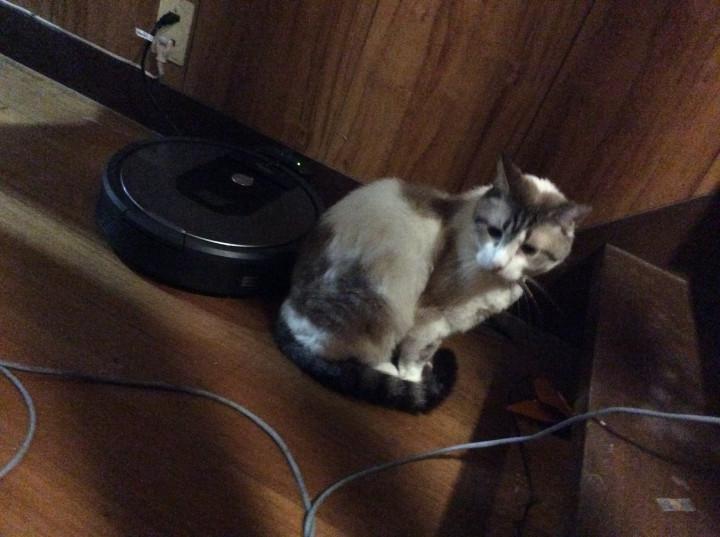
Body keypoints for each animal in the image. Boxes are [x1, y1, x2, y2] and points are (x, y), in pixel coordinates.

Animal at [273, 156, 590, 412]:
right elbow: (416, 356)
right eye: (495, 231)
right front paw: (413, 379)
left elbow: (429, 351)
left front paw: (425, 366)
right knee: (343, 349)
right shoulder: (432, 318)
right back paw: (386, 371)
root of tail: (287, 304)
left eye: (529, 250)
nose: (497, 263)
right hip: (385, 305)